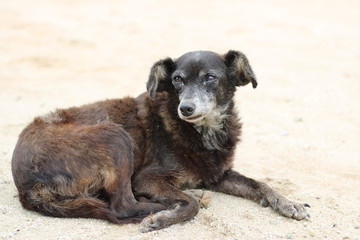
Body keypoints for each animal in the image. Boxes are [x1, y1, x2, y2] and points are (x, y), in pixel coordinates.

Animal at [11, 49, 310, 232]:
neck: (203, 132)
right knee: (122, 205)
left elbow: (259, 185)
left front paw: (288, 203)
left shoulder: (217, 175)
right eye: (177, 79)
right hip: (115, 136)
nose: (185, 108)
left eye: (210, 77)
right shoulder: (146, 178)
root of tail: (25, 185)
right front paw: (166, 217)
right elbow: (190, 206)